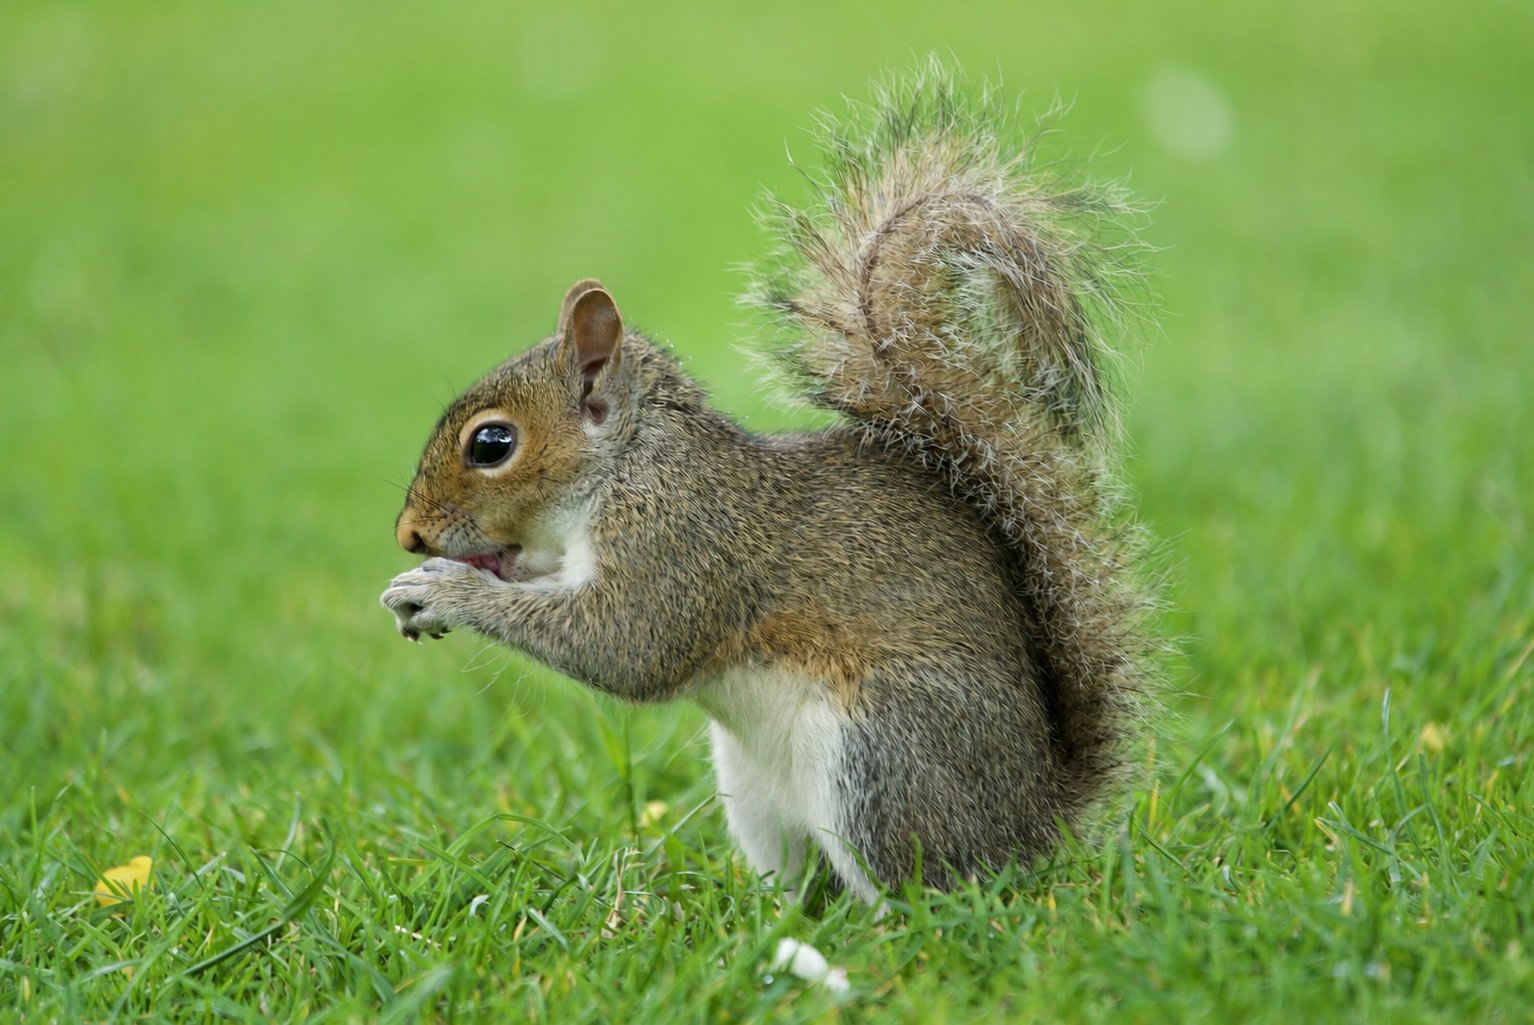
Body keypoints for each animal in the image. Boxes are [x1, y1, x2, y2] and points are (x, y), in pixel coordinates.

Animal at [381, 66, 1155, 901]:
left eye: (492, 443)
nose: (409, 533)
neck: (629, 464)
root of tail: (1034, 822)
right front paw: (427, 583)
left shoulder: (682, 542)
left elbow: (625, 646)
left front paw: (448, 589)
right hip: (754, 791)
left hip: (881, 752)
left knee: (926, 886)